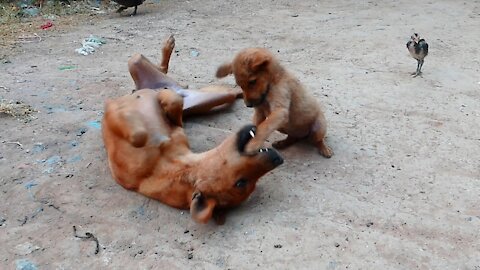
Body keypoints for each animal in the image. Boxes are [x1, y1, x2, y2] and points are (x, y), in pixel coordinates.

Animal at [101, 37, 282, 225]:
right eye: (241, 183)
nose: (278, 159)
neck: (170, 164)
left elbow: (173, 106)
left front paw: (169, 111)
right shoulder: (112, 110)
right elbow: (139, 134)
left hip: (218, 96)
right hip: (137, 63)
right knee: (145, 67)